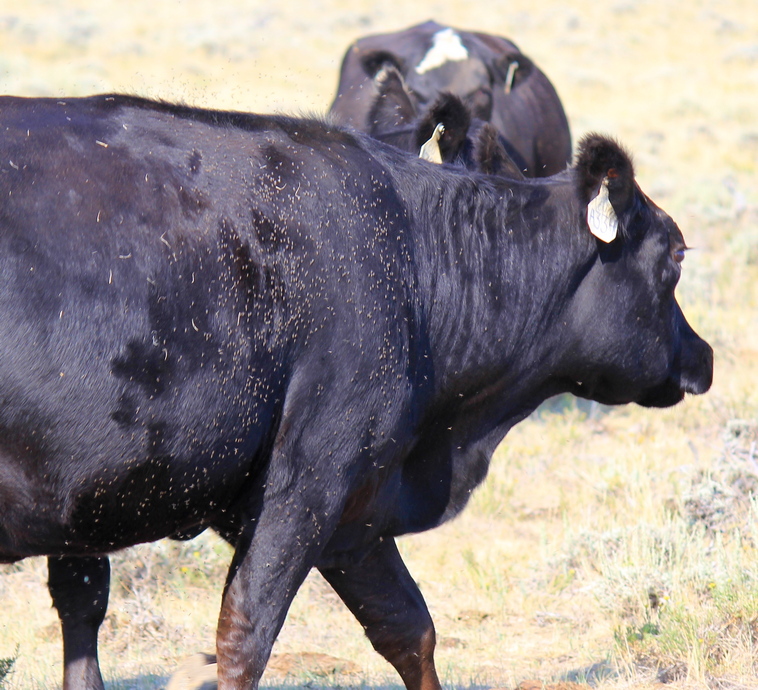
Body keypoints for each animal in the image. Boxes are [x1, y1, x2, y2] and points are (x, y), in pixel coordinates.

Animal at [0, 92, 712, 688]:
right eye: (677, 253)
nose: (703, 356)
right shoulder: (311, 482)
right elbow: (244, 637)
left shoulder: (354, 509)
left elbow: (408, 628)